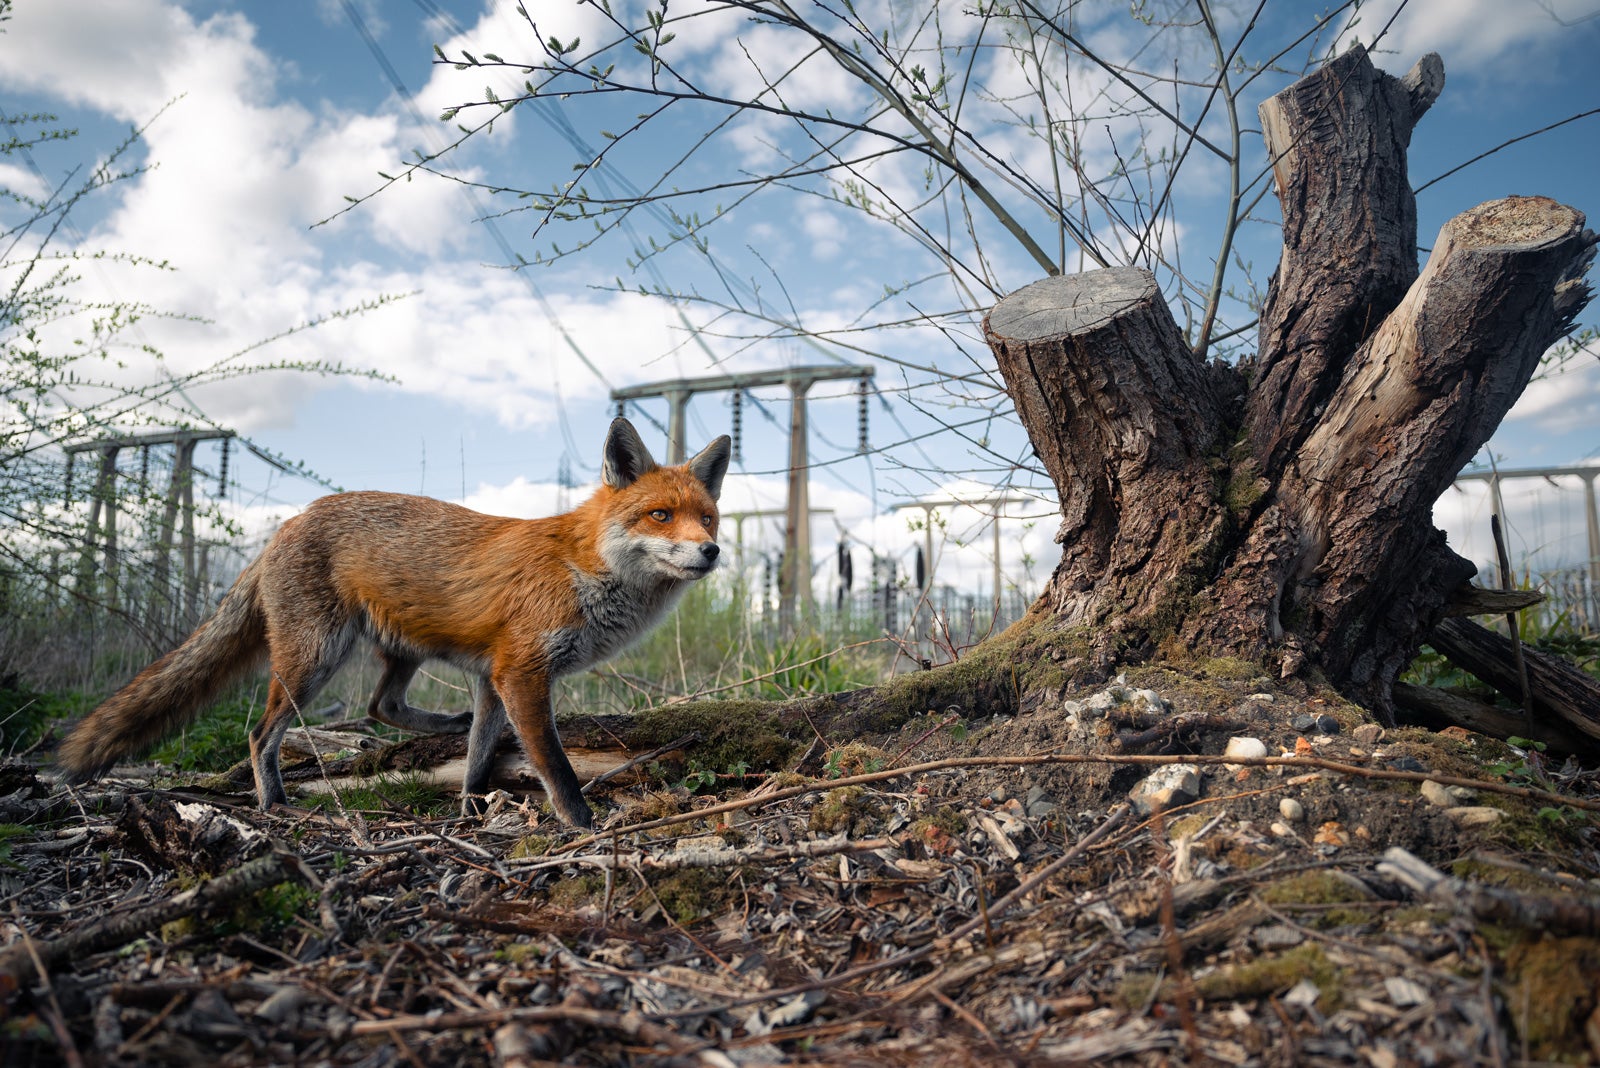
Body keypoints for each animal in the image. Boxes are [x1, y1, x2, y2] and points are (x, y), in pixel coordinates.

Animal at [57, 418, 731, 829]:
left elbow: (479, 758)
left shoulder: (493, 678)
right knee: (261, 734)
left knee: (382, 705)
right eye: (660, 515)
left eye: (708, 518)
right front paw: (582, 825)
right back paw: (273, 802)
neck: (584, 567)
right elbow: (556, 768)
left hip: (399, 651)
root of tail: (290, 521)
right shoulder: (522, 672)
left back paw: (440, 724)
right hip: (314, 659)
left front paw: (469, 811)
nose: (711, 552)